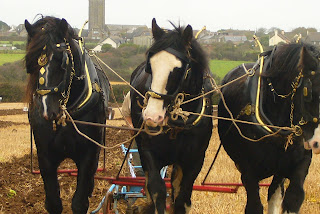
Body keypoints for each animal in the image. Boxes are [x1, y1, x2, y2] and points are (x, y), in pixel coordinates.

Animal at [23, 15, 109, 213]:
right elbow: (53, 203)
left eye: (62, 61)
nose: (47, 110)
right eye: (30, 63)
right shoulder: (45, 156)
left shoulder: (88, 154)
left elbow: (79, 202)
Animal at [129, 18, 214, 214]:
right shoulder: (148, 152)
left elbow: (182, 197)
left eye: (179, 69)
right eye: (150, 66)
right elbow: (157, 190)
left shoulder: (195, 160)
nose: (152, 116)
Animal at [218, 42, 320, 213]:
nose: (317, 142)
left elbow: (294, 197)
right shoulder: (248, 171)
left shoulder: (299, 162)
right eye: (309, 93)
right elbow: (254, 206)